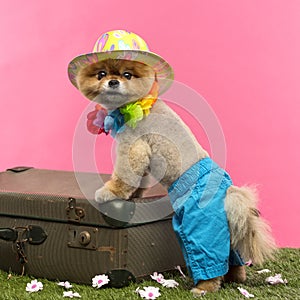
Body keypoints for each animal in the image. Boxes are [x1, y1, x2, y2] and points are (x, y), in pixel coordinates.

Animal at [75, 58, 276, 296]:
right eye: (101, 74)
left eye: (127, 75)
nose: (113, 82)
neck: (137, 105)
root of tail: (228, 192)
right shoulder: (143, 156)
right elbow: (139, 181)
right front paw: (134, 196)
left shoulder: (133, 147)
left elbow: (124, 176)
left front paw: (108, 193)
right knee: (232, 256)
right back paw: (234, 277)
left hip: (199, 222)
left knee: (207, 256)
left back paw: (203, 287)